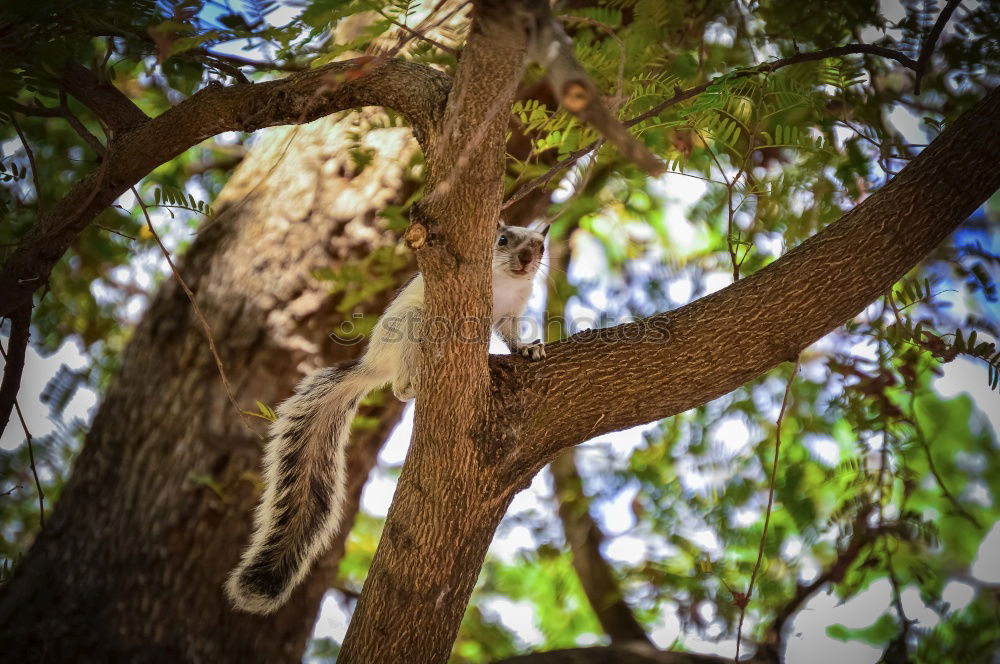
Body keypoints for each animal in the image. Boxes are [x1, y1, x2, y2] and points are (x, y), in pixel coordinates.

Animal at [226, 222, 548, 612]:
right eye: (501, 240)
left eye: (540, 246)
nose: (526, 259)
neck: (505, 282)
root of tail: (375, 364)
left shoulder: (510, 313)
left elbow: (511, 334)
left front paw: (527, 348)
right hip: (410, 330)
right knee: (399, 385)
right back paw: (416, 384)